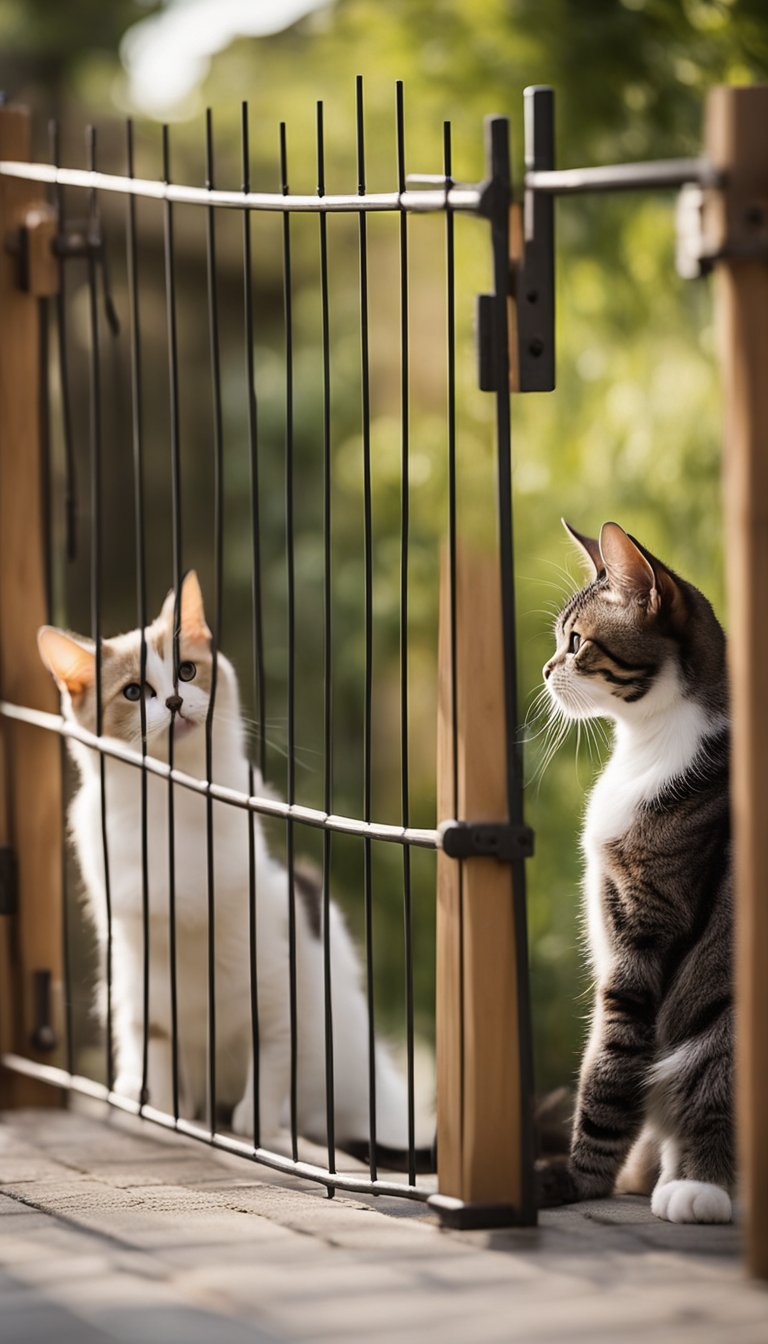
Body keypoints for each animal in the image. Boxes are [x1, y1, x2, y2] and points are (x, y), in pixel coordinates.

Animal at [37, 569, 419, 1155]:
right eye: (133, 692)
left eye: (187, 670)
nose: (175, 700)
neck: (173, 806)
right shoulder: (140, 976)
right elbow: (157, 1050)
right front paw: (164, 1111)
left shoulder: (280, 974)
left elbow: (272, 1057)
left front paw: (257, 1127)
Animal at [540, 521, 731, 1231]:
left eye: (576, 641)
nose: (545, 669)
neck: (647, 749)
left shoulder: (646, 930)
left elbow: (611, 1062)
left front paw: (578, 1178)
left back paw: (703, 1188)